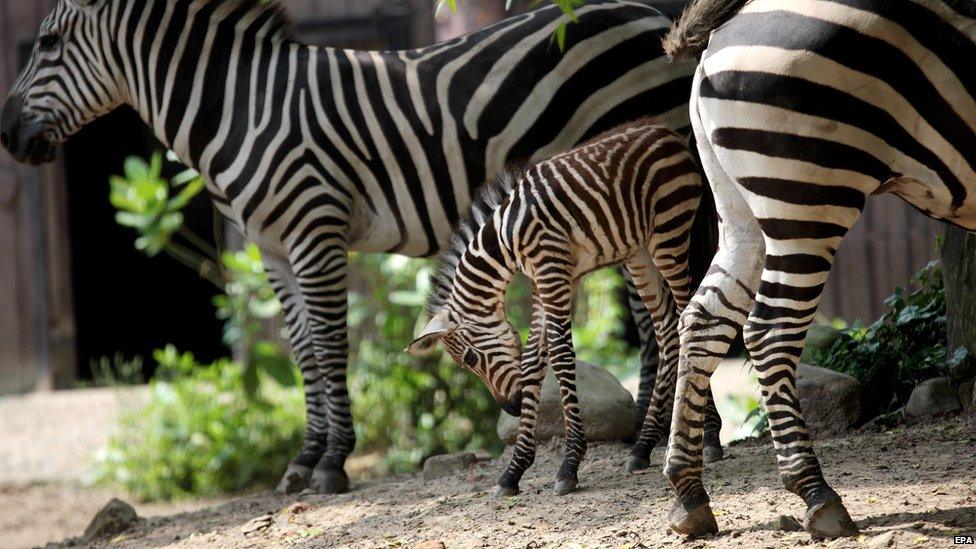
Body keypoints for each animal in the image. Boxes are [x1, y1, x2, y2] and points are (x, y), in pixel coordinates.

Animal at [407, 118, 703, 496]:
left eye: (471, 359)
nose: (511, 406)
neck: (505, 238)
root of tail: (666, 130)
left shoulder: (551, 270)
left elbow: (560, 356)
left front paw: (569, 464)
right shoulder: (542, 281)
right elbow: (533, 359)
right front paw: (513, 472)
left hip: (670, 232)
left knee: (686, 315)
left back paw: (707, 440)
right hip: (638, 252)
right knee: (666, 329)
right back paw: (642, 447)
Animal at [658, 0, 976, 539]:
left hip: (741, 210)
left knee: (704, 319)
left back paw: (688, 494)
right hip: (808, 197)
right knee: (769, 331)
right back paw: (817, 494)